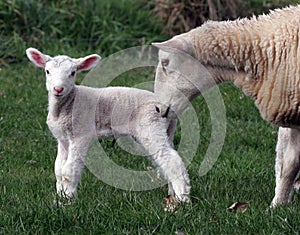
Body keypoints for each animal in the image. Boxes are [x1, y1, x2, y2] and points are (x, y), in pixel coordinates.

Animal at [25, 47, 190, 202]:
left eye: (72, 73)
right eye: (47, 71)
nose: (58, 89)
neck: (67, 104)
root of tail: (168, 108)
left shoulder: (80, 134)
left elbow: (69, 171)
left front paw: (68, 200)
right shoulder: (63, 139)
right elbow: (59, 169)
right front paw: (60, 197)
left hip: (150, 126)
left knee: (171, 160)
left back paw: (183, 197)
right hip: (165, 130)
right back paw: (173, 196)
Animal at [152, 5, 300, 207]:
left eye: (165, 63)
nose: (158, 109)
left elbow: (290, 163)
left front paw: (278, 204)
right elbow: (290, 163)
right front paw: (279, 205)